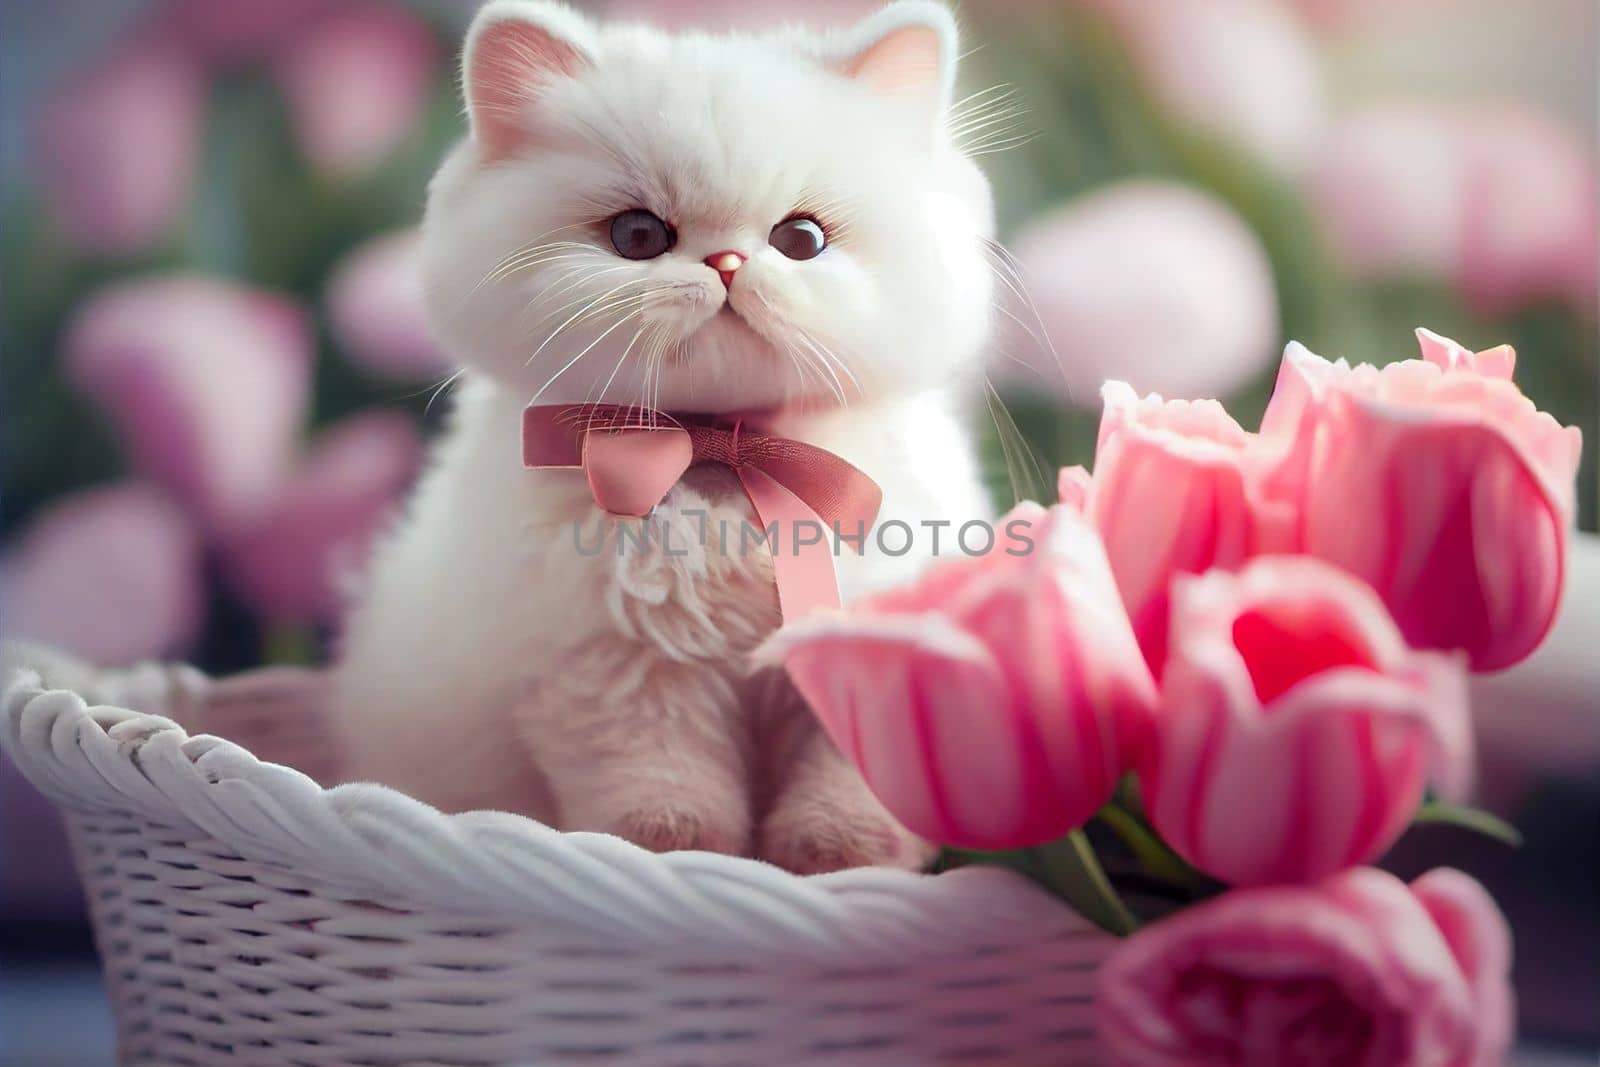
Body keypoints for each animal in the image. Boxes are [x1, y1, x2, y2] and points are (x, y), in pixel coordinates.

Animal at [332, 0, 992, 870]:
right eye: (639, 236)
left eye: (802, 240)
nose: (728, 261)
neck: (719, 451)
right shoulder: (618, 672)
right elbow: (664, 794)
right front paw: (670, 854)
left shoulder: (864, 652)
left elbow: (850, 784)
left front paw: (838, 854)